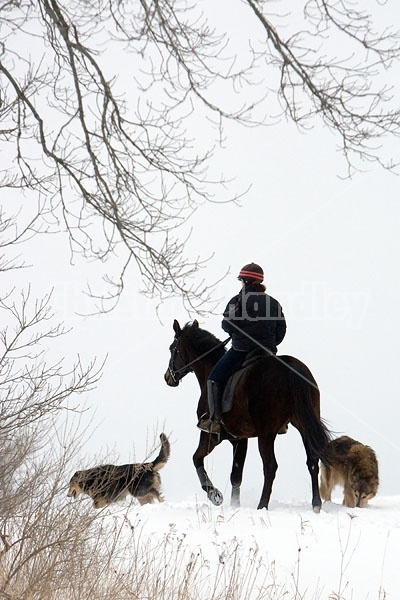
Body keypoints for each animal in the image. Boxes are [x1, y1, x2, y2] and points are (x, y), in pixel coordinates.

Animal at [164, 318, 332, 510]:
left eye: (172, 348)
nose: (167, 377)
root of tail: (291, 368)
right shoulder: (240, 439)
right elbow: (236, 475)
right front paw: (234, 505)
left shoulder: (210, 435)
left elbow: (196, 458)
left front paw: (215, 495)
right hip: (303, 424)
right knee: (312, 461)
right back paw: (316, 504)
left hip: (266, 433)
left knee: (270, 466)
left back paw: (262, 505)